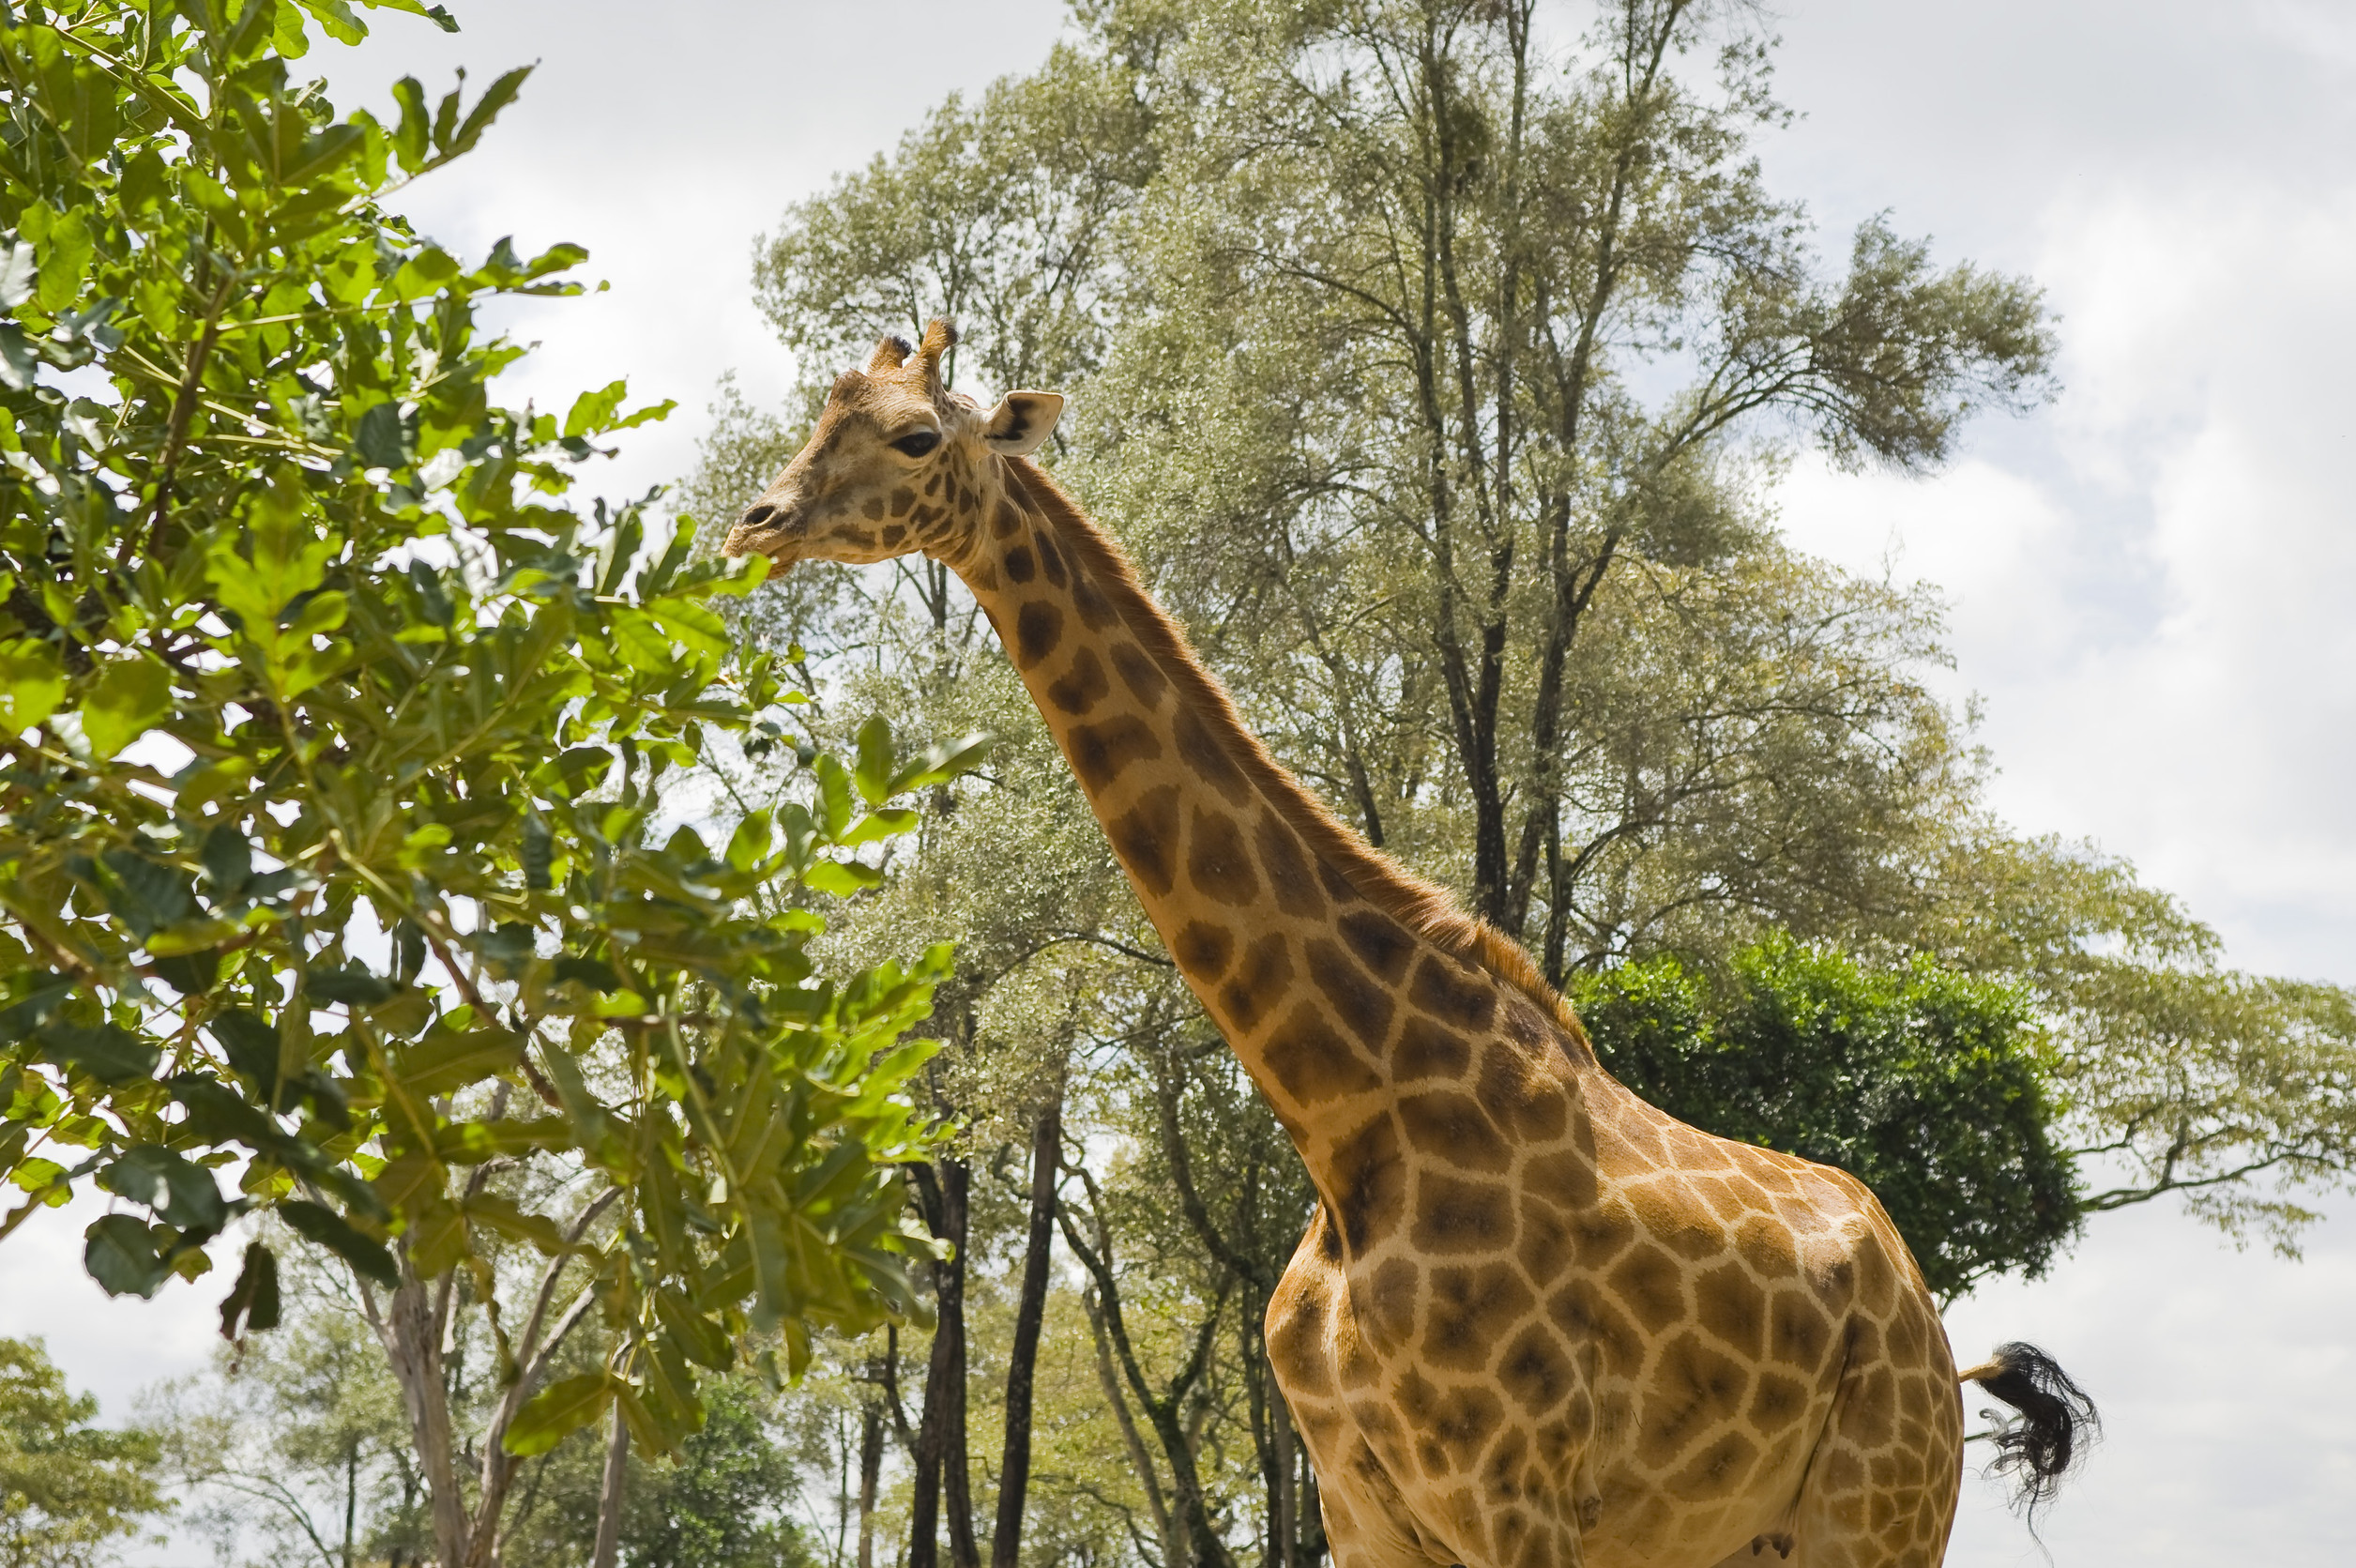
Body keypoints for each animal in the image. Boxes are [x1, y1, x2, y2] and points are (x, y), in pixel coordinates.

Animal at [721, 320, 2101, 1565]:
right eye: (820, 414)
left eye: (914, 435)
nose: (755, 521)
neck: (1346, 1122)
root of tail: (1930, 1324)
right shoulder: (1359, 1504)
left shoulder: (1515, 1494)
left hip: (1876, 1511)